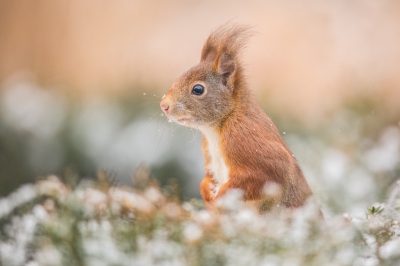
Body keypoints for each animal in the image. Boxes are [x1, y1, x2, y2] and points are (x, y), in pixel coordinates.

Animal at [159, 25, 312, 212]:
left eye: (198, 89)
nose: (164, 106)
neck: (217, 129)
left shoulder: (246, 140)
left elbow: (264, 175)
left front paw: (221, 196)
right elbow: (207, 179)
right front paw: (208, 190)